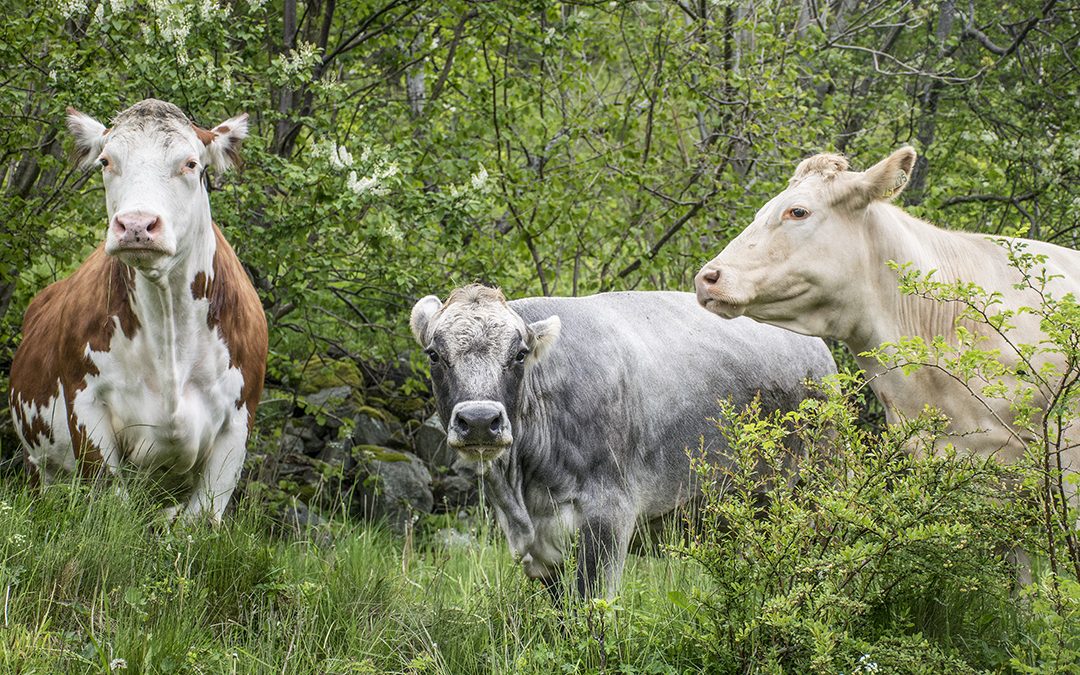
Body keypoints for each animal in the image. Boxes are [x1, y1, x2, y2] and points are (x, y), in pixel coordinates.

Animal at [11, 99, 270, 520]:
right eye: (106, 161)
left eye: (190, 163)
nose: (135, 225)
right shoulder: (85, 406)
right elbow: (110, 502)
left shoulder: (238, 424)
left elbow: (199, 520)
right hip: (38, 463)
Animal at [412, 282, 833, 596]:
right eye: (433, 354)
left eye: (519, 354)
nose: (480, 420)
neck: (521, 491)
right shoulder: (538, 546)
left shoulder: (609, 515)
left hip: (813, 492)